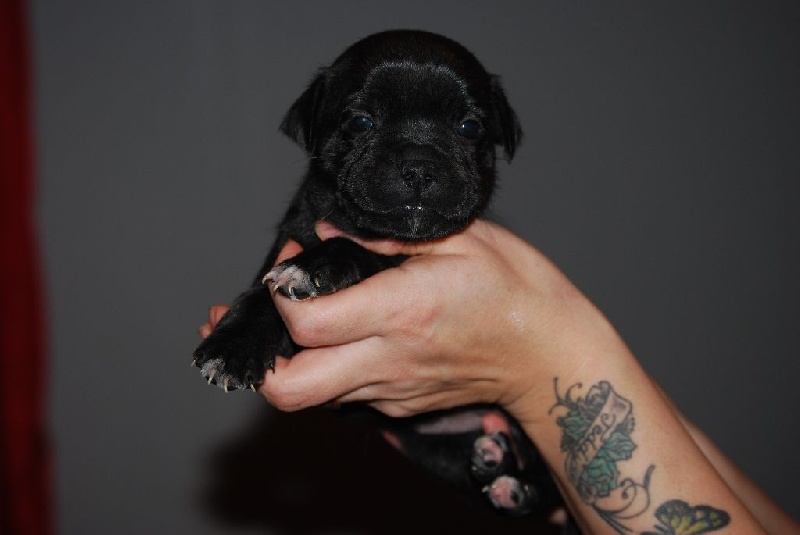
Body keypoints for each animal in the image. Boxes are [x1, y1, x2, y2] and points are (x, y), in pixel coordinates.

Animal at [193, 29, 565, 522]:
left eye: (469, 128)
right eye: (360, 122)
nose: (420, 165)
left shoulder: (395, 257)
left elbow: (359, 251)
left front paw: (313, 268)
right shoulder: (291, 236)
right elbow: (259, 295)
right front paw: (233, 346)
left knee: (550, 491)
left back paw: (515, 488)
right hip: (436, 450)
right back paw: (497, 465)